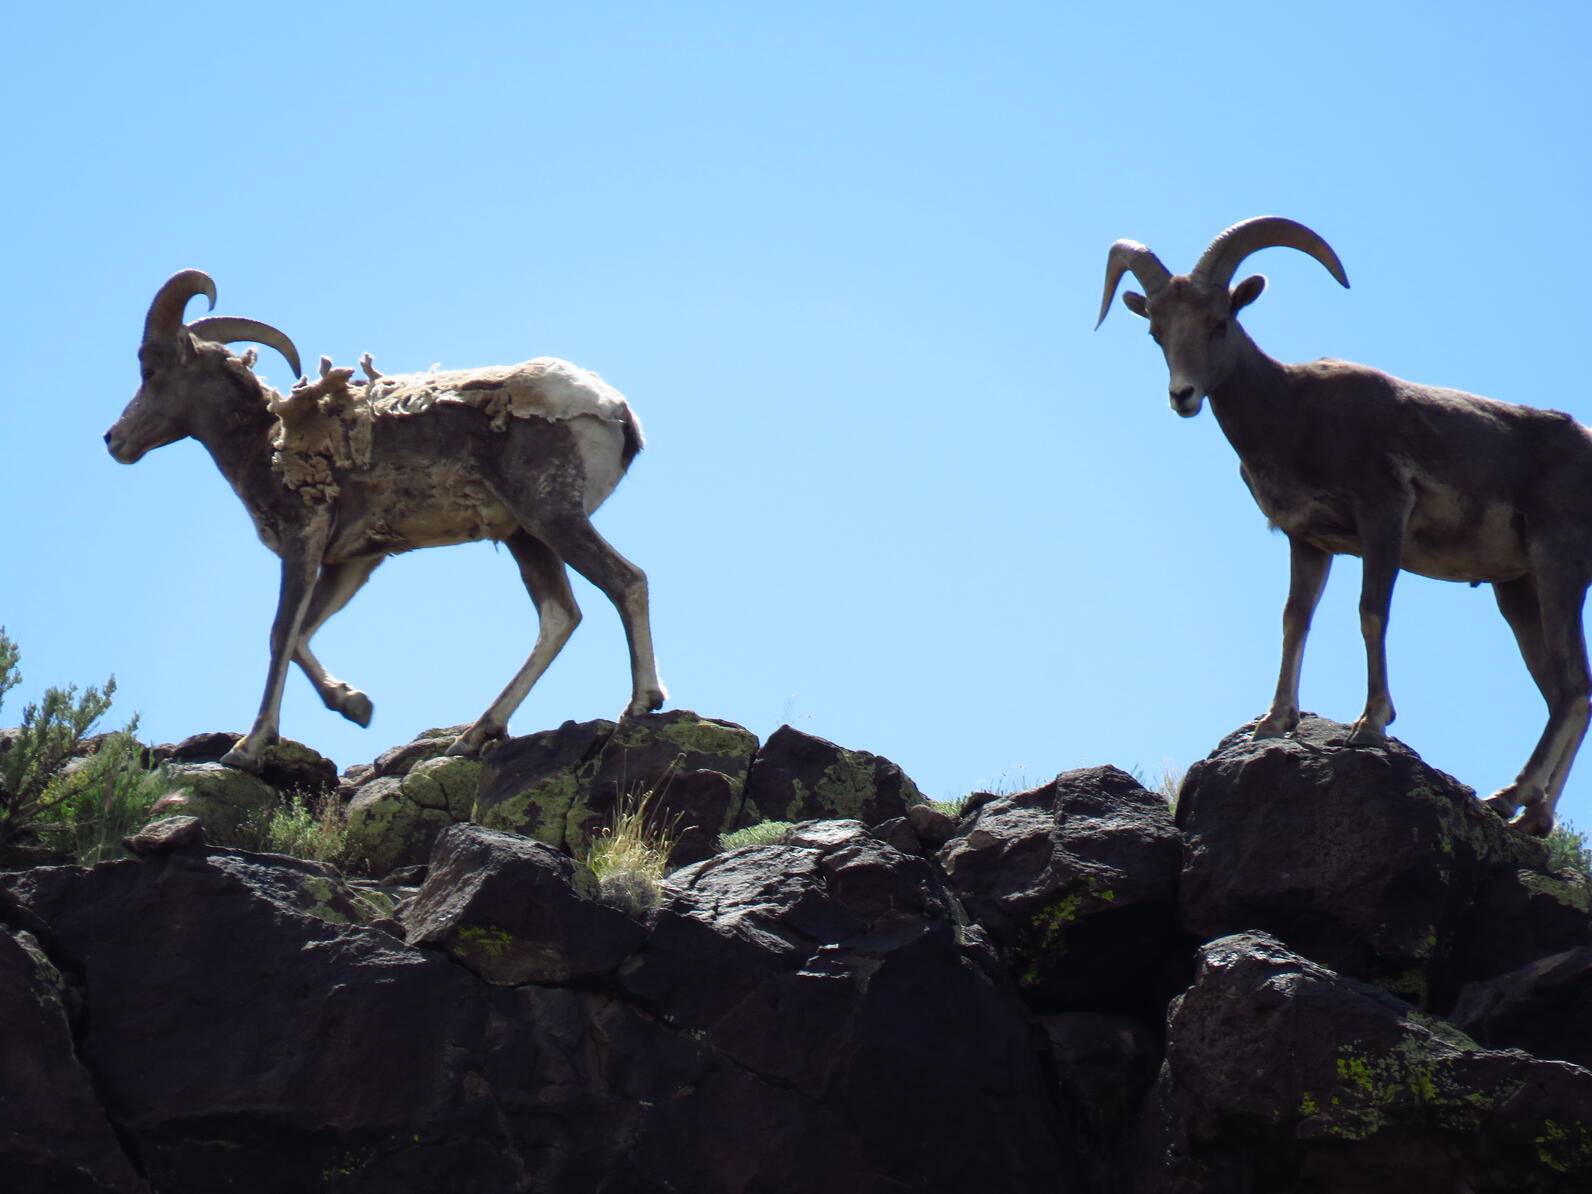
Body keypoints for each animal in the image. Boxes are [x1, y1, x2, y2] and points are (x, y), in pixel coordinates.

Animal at [104, 272, 665, 776]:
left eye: (149, 370)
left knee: (624, 581)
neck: (265, 442)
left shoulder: (303, 542)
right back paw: (474, 735)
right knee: (559, 616)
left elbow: (281, 633)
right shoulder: (354, 563)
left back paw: (641, 703)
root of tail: (613, 410)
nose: (114, 439)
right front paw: (355, 704)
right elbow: (303, 635)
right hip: (524, 536)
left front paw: (248, 747)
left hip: (552, 519)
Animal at [1101, 222, 1585, 840]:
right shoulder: (1308, 542)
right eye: (1156, 331)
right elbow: (1295, 619)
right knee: (1569, 691)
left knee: (1570, 688)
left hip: (1557, 569)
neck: (1294, 413)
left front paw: (1371, 725)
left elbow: (1370, 614)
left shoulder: (1382, 519)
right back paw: (1530, 812)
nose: (1183, 396)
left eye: (1220, 322)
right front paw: (1274, 722)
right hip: (1518, 592)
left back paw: (1513, 804)